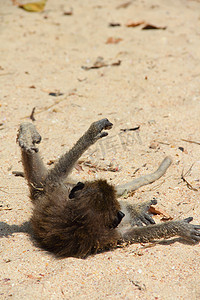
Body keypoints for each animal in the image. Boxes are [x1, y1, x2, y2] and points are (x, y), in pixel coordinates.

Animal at [17, 119, 200, 258]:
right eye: (116, 211)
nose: (122, 213)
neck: (77, 221)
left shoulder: (57, 196)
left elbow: (48, 180)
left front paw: (91, 134)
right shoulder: (109, 235)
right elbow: (133, 235)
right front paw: (179, 228)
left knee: (42, 180)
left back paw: (27, 133)